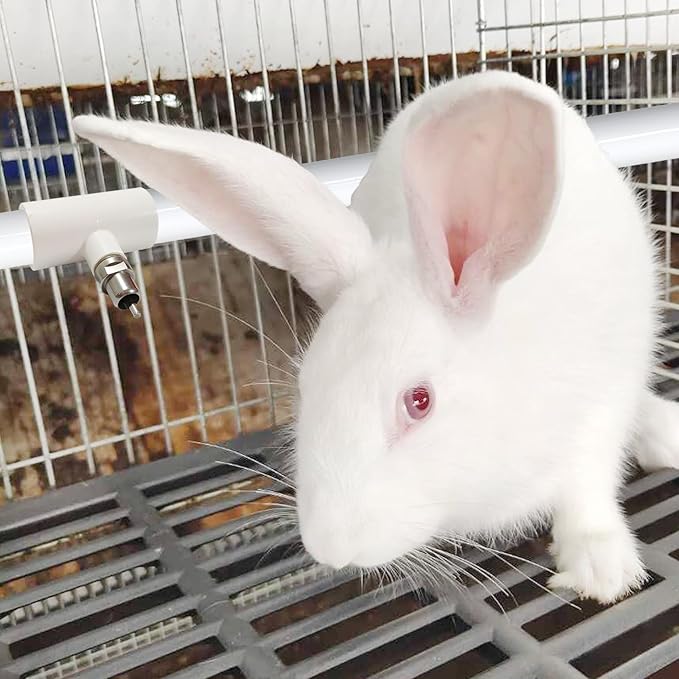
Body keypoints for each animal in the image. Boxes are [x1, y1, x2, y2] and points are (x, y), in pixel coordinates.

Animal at [73, 69, 679, 604]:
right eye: (305, 387)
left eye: (419, 401)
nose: (330, 547)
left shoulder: (597, 409)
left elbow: (587, 490)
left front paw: (602, 572)